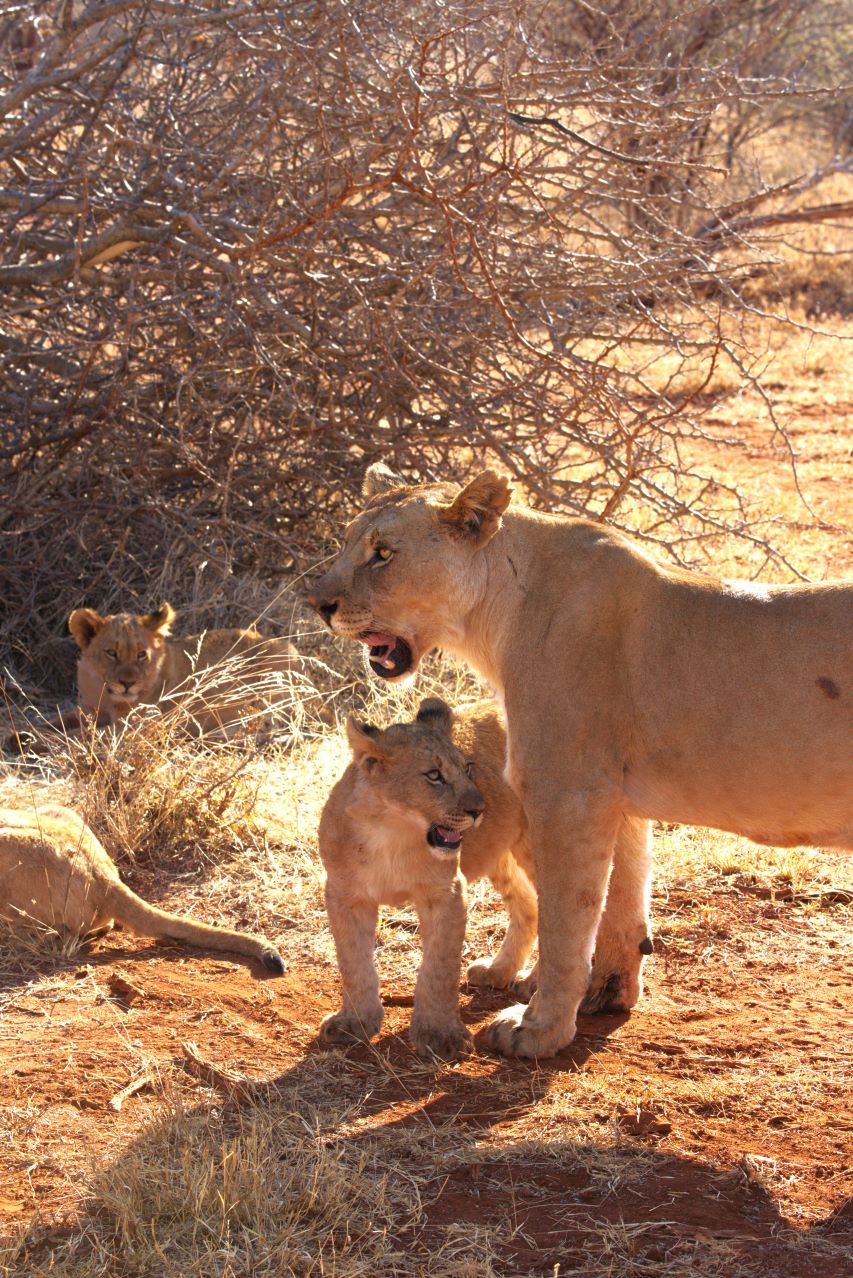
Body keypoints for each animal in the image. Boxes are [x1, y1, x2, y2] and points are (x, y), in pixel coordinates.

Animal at [318, 697, 537, 1059]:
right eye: (434, 776)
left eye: (467, 769)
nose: (479, 810)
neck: (392, 833)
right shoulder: (345, 894)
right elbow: (353, 963)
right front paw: (355, 1022)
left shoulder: (446, 892)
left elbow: (439, 968)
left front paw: (439, 1035)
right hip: (502, 855)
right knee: (529, 905)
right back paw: (498, 970)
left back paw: (536, 982)